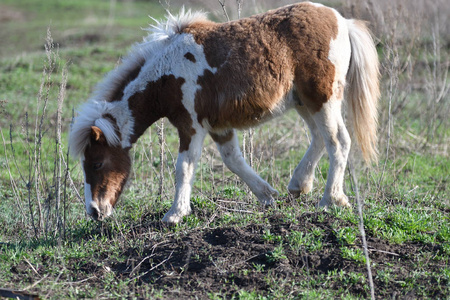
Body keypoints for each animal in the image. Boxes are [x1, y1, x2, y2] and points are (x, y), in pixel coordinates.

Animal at [69, 1, 380, 223]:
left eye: (97, 163)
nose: (94, 211)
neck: (167, 73)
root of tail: (342, 21)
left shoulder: (191, 125)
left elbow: (184, 166)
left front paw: (174, 214)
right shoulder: (219, 127)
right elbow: (233, 161)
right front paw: (267, 195)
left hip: (322, 98)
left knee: (337, 140)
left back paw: (331, 200)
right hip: (304, 101)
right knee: (318, 138)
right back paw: (299, 185)